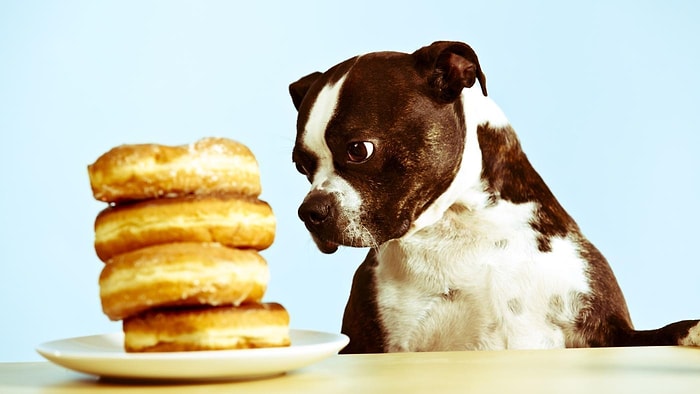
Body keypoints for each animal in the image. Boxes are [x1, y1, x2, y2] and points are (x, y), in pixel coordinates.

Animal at [286, 40, 700, 354]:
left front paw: (693, 330)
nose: (310, 211)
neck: (459, 223)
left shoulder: (608, 330)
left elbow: (661, 332)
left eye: (359, 150)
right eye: (301, 166)